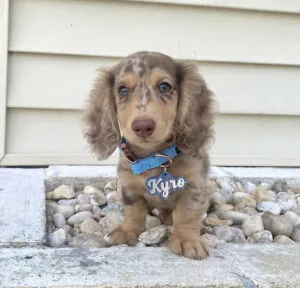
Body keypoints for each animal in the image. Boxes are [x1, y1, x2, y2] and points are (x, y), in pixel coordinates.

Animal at [83, 50, 214, 260]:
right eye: (122, 90)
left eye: (164, 86)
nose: (143, 126)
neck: (155, 157)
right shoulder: (129, 186)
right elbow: (134, 211)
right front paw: (127, 231)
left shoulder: (196, 186)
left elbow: (187, 214)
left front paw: (187, 239)